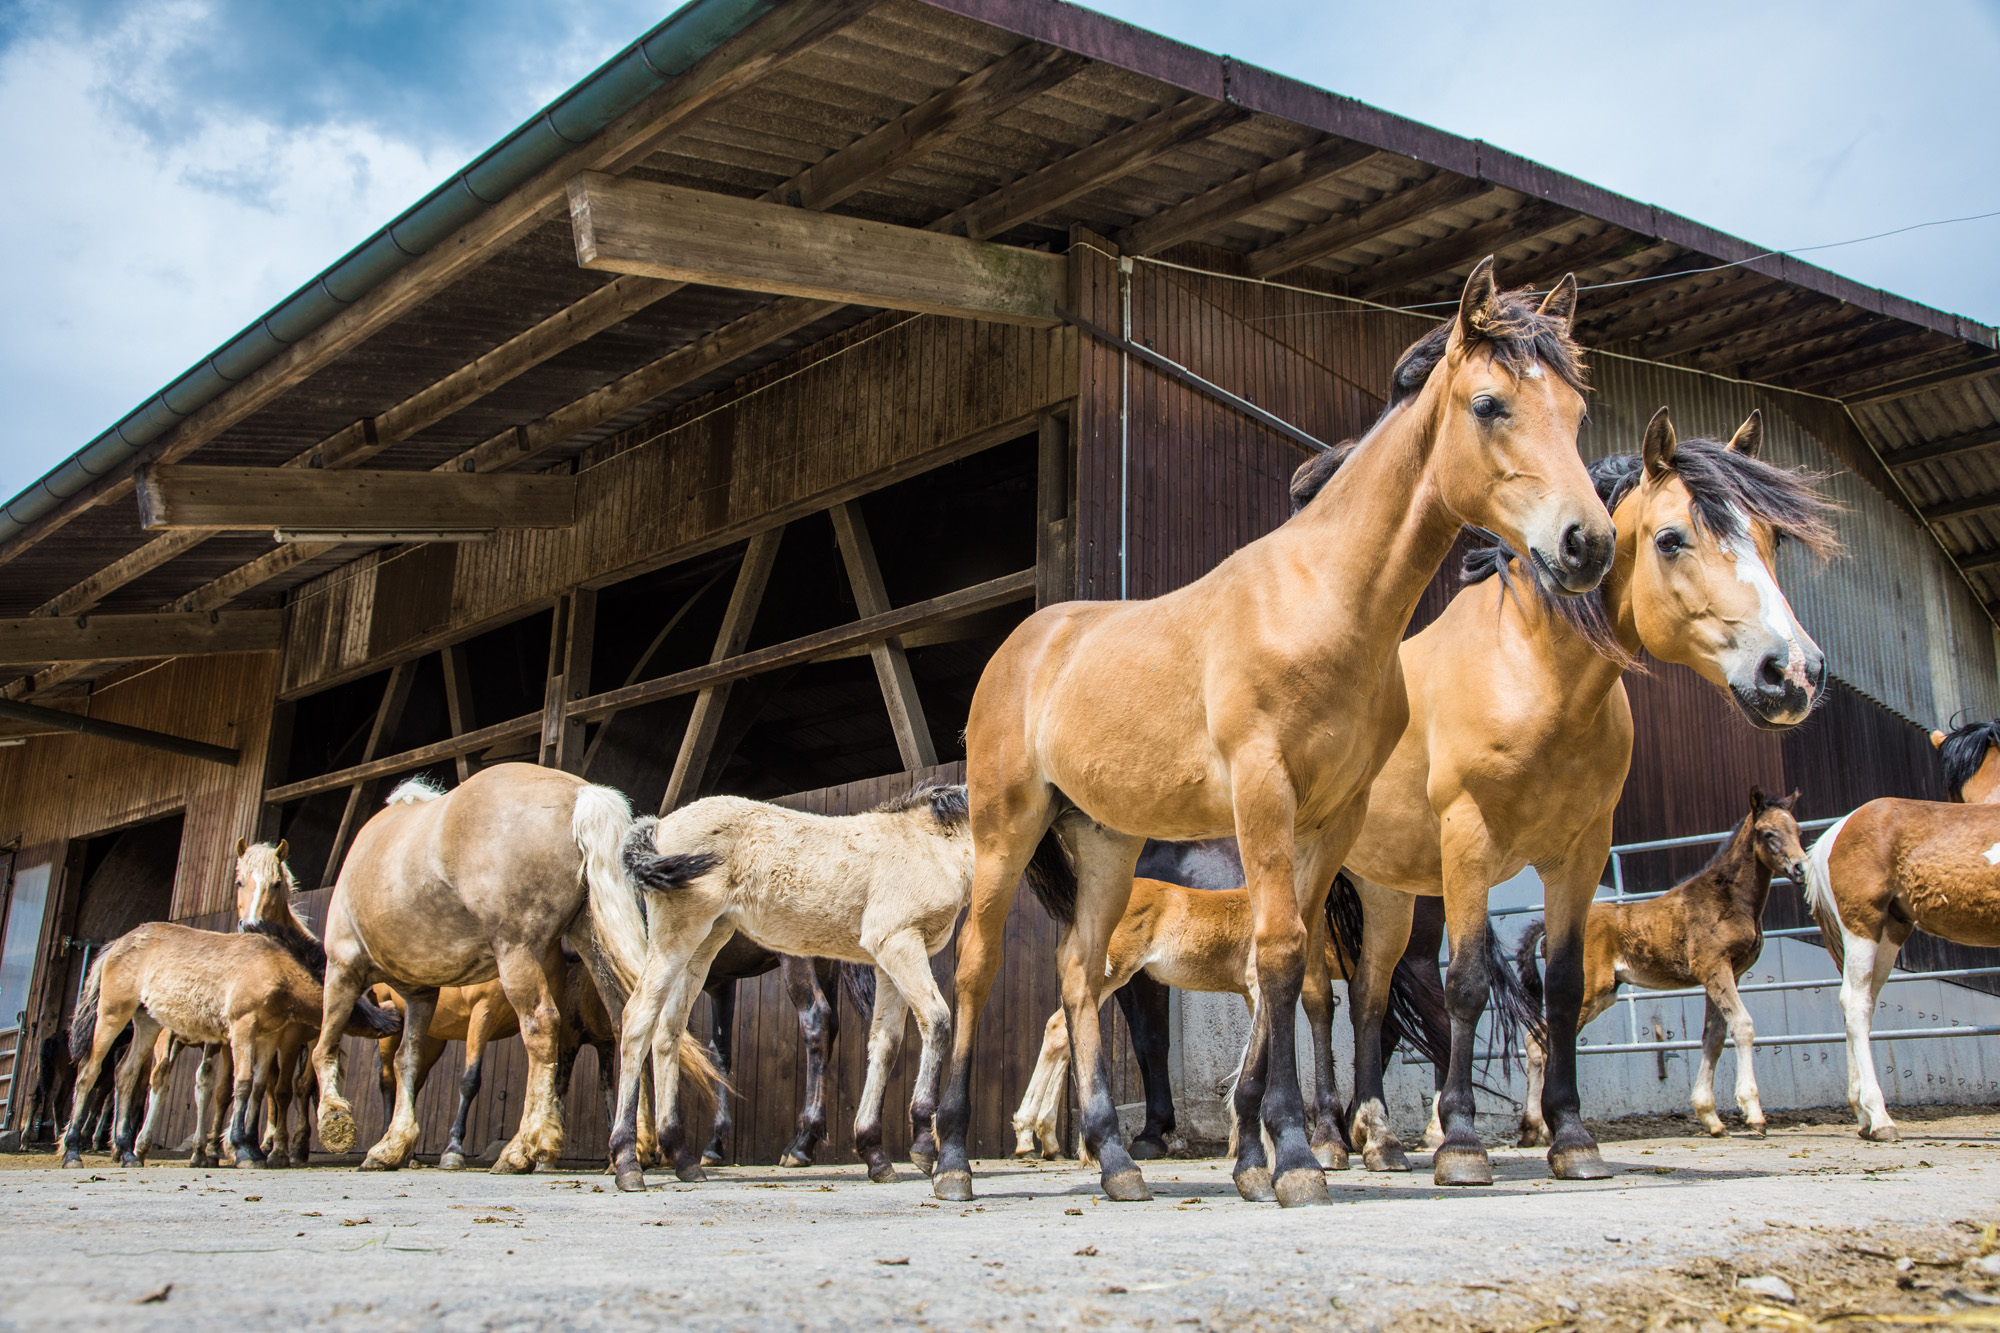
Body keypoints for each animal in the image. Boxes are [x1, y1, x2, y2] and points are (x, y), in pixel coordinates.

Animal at [312, 764, 720, 1168]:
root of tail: (581, 793)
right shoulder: (421, 994)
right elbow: (406, 1062)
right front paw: (393, 1144)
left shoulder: (343, 968)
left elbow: (325, 1047)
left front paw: (335, 1119)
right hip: (592, 938)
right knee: (628, 1022)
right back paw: (636, 1145)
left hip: (516, 952)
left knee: (541, 1025)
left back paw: (524, 1146)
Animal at [612, 780, 1072, 1184]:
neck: (929, 846)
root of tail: (657, 826)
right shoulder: (898, 943)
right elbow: (937, 1020)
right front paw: (925, 1145)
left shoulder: (888, 960)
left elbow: (885, 1042)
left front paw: (875, 1154)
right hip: (676, 937)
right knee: (637, 1019)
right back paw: (627, 1162)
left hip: (705, 944)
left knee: (668, 1033)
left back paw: (684, 1158)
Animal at [1512, 784, 1816, 1136]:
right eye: (1768, 833)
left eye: (1798, 830)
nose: (1801, 869)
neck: (1726, 899)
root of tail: (1548, 931)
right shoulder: (1714, 967)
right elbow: (1742, 1025)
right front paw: (1754, 1114)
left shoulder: (1727, 974)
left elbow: (1713, 1038)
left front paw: (1711, 1117)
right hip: (1589, 992)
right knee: (1540, 1040)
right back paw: (1544, 1129)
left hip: (1604, 995)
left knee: (1540, 1040)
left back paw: (1533, 1129)